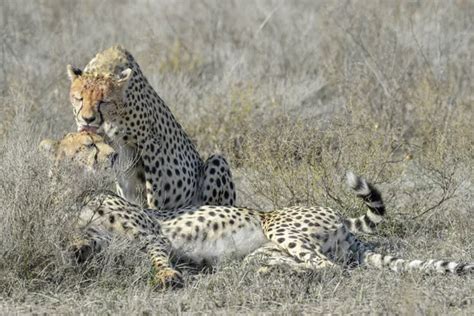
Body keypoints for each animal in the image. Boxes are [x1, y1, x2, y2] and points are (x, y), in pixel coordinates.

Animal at [65, 45, 236, 209]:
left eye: (103, 101)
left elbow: (154, 190)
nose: (88, 119)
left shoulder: (150, 146)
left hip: (216, 162)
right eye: (79, 98)